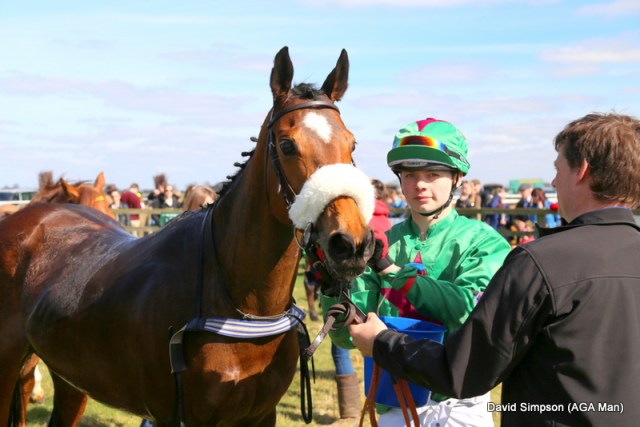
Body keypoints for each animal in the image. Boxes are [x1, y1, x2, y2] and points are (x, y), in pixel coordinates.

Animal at [0, 46, 374, 427]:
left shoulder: (261, 413)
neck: (239, 303)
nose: (351, 244)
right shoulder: (176, 415)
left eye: (352, 144)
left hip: (71, 376)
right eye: (286, 145)